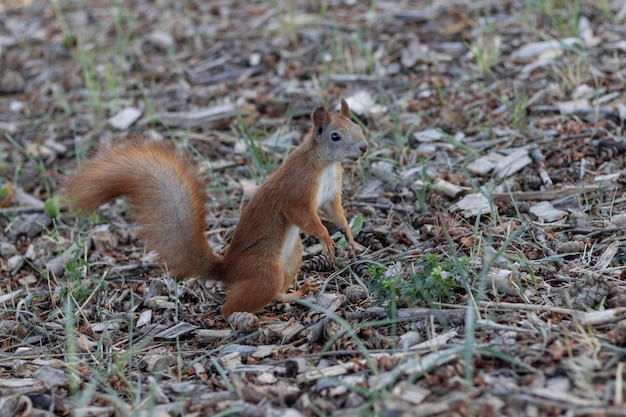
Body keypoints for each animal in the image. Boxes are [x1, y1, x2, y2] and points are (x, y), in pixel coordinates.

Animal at [63, 99, 366, 314]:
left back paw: (297, 293)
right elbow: (304, 216)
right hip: (266, 271)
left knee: (278, 290)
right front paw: (327, 239)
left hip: (293, 256)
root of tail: (228, 269)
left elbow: (335, 213)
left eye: (359, 128)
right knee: (230, 307)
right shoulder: (296, 190)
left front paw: (350, 238)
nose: (363, 147)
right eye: (335, 136)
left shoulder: (329, 194)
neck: (325, 165)